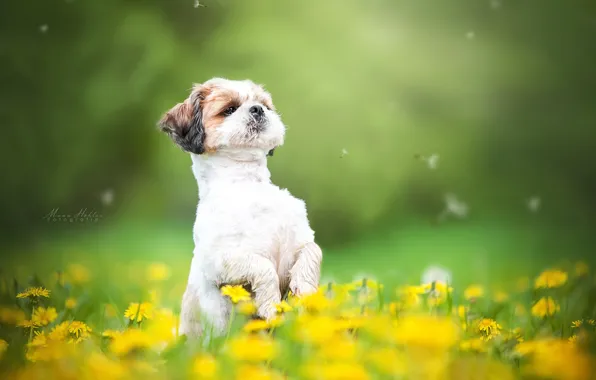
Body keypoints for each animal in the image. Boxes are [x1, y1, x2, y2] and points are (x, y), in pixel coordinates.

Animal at [158, 77, 322, 338]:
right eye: (229, 109)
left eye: (264, 104)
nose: (257, 109)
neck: (247, 184)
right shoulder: (221, 262)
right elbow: (263, 266)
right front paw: (270, 305)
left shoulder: (297, 241)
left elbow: (313, 251)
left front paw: (305, 290)